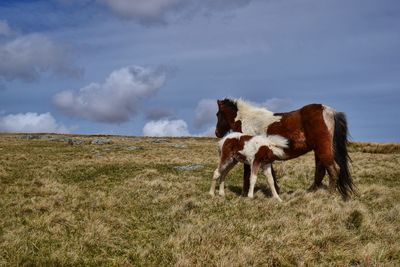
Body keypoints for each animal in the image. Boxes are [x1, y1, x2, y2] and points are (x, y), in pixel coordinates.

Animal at [214, 98, 354, 199]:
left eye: (218, 114)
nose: (217, 133)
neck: (247, 120)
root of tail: (328, 111)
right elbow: (271, 175)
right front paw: (276, 192)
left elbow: (247, 174)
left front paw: (244, 194)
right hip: (319, 151)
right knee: (321, 171)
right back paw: (311, 193)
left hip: (322, 149)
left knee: (333, 170)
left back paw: (329, 195)